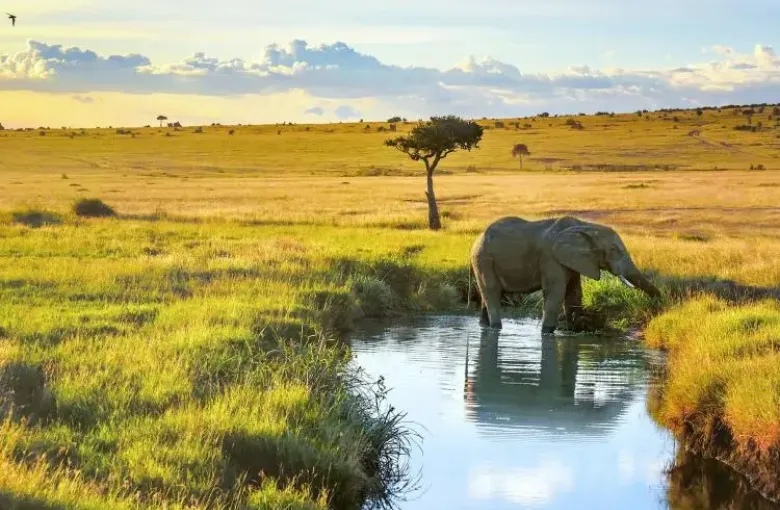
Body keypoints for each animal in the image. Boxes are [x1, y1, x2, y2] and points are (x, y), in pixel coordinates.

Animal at [469, 215, 661, 333]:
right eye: (615, 250)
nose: (658, 305)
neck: (586, 225)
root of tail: (478, 238)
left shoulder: (575, 260)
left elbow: (573, 294)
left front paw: (574, 328)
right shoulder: (551, 258)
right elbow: (555, 295)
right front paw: (547, 332)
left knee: (488, 296)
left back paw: (484, 326)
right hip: (483, 259)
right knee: (492, 292)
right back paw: (496, 328)